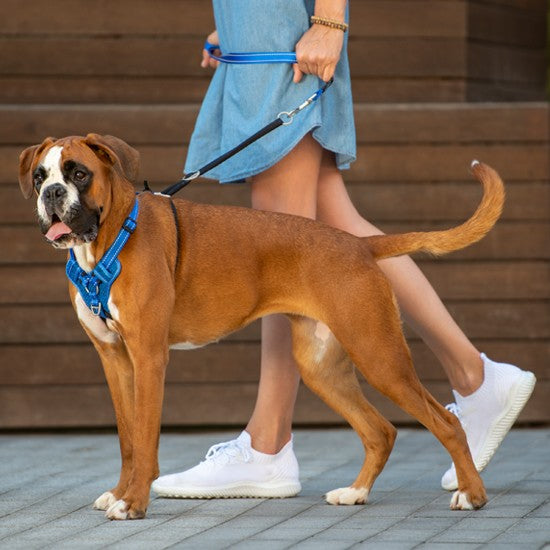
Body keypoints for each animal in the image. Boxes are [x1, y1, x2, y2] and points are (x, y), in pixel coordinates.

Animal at [18, 135, 504, 520]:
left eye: (79, 174)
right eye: (40, 177)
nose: (53, 193)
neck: (111, 236)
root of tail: (360, 245)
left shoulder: (149, 358)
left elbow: (146, 438)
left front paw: (134, 503)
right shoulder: (115, 361)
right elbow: (128, 440)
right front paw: (120, 493)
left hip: (380, 358)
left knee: (446, 423)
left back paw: (472, 494)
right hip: (323, 369)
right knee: (380, 431)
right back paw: (356, 492)